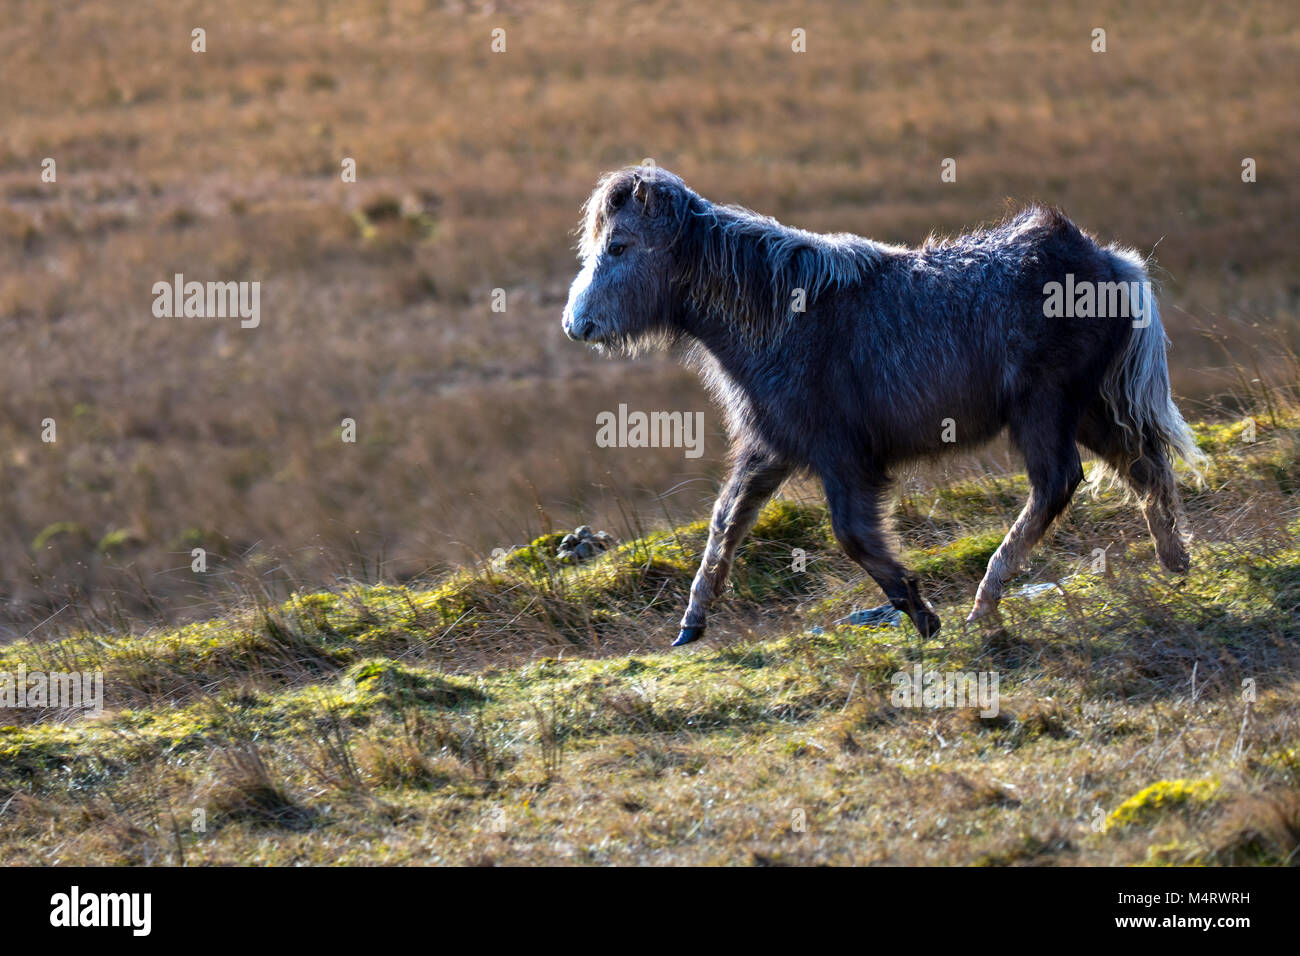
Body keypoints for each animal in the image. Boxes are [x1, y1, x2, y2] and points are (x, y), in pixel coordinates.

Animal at [561, 166, 1204, 646]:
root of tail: (1112, 263)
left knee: (1059, 482)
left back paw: (985, 604)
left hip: (1044, 408)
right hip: (1087, 407)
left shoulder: (843, 459)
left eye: (618, 245)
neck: (778, 313)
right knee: (1143, 465)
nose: (576, 325)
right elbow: (726, 522)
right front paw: (690, 625)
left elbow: (852, 535)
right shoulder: (770, 450)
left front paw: (921, 611)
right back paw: (1176, 563)